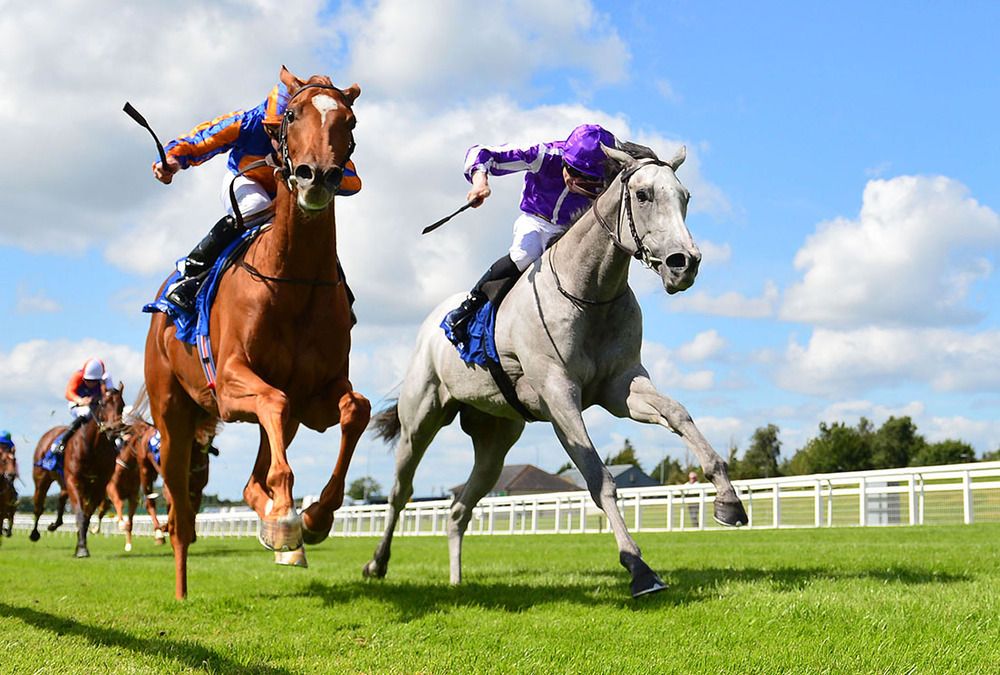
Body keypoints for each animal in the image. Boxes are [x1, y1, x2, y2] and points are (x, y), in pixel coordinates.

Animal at [29, 388, 127, 556]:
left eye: (122, 405)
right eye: (103, 403)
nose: (114, 429)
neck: (92, 448)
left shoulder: (99, 485)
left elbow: (87, 515)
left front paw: (80, 544)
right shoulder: (74, 480)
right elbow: (80, 514)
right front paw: (81, 549)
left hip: (65, 481)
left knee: (61, 498)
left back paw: (54, 524)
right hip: (42, 479)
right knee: (38, 506)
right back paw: (35, 533)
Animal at [145, 67, 372, 596]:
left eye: (349, 121)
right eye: (292, 115)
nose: (317, 176)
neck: (294, 280)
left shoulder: (315, 397)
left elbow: (355, 409)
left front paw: (312, 518)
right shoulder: (230, 386)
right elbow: (273, 399)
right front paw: (287, 517)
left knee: (255, 477)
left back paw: (281, 527)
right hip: (172, 419)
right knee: (181, 515)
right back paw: (183, 590)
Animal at [366, 143, 744, 596]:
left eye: (685, 197)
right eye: (643, 195)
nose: (684, 263)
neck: (588, 292)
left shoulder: (621, 386)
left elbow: (678, 414)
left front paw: (728, 500)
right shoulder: (559, 394)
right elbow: (599, 479)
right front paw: (639, 567)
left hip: (495, 439)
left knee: (459, 509)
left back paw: (456, 581)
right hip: (420, 419)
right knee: (400, 492)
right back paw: (377, 564)